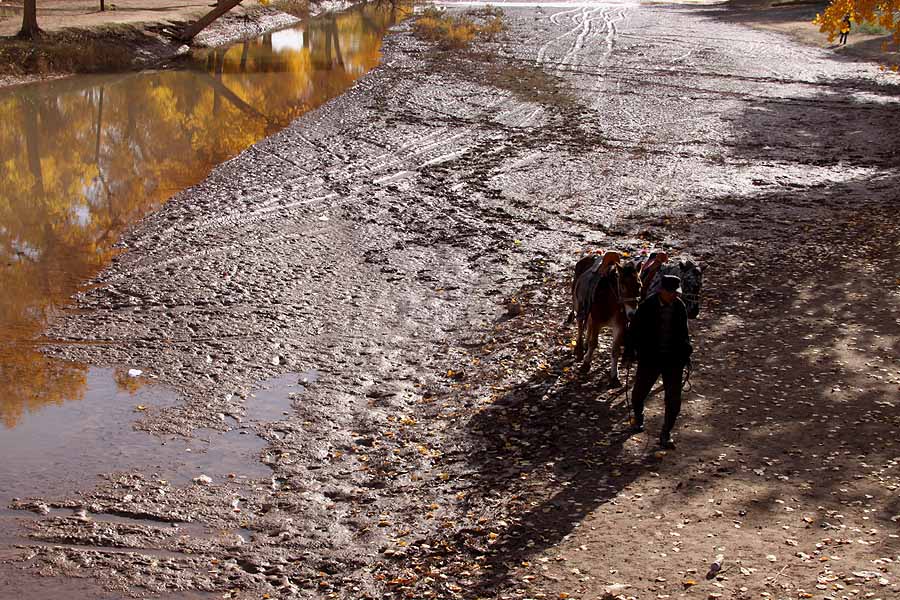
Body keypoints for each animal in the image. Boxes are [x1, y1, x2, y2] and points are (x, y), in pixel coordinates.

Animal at [568, 252, 640, 384]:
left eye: (639, 285)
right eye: (622, 285)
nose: (632, 314)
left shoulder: (619, 326)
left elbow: (615, 350)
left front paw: (614, 376)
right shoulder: (597, 322)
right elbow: (594, 343)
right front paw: (586, 364)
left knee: (588, 325)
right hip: (579, 306)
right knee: (580, 326)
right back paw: (579, 349)